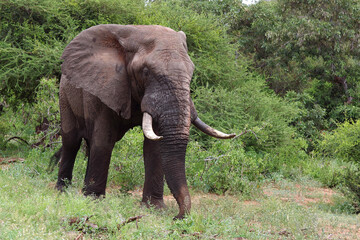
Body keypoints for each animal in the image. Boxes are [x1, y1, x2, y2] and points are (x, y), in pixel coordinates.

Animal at [55, 24, 236, 219]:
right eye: (146, 71)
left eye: (192, 72)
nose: (177, 216)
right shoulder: (104, 86)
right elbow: (104, 141)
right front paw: (94, 201)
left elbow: (154, 147)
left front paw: (154, 208)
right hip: (64, 95)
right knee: (71, 141)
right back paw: (62, 192)